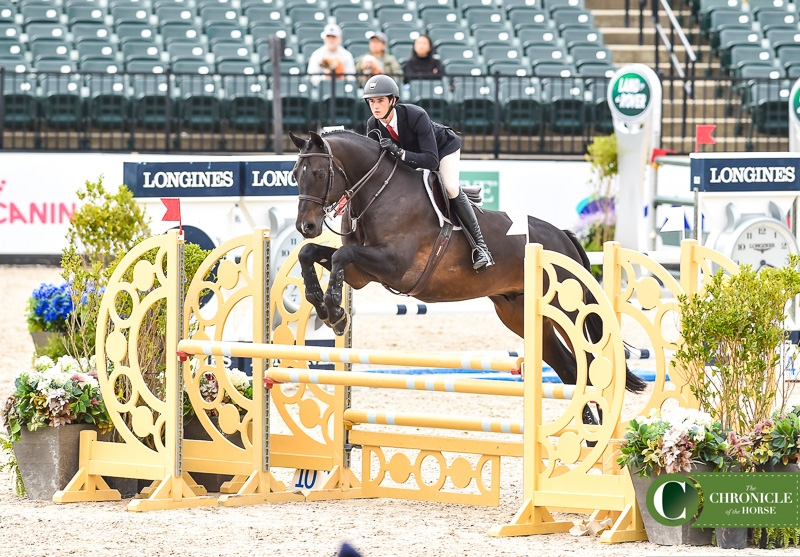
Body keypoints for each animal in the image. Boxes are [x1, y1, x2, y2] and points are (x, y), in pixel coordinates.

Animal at [290, 129, 648, 396]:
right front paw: (320, 303)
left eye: (319, 173)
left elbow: (340, 255)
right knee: (572, 371)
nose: (306, 227)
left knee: (590, 367)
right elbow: (310, 254)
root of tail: (563, 237)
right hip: (521, 315)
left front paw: (336, 312)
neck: (379, 192)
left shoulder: (395, 266)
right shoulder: (362, 274)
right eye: (295, 175)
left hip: (568, 312)